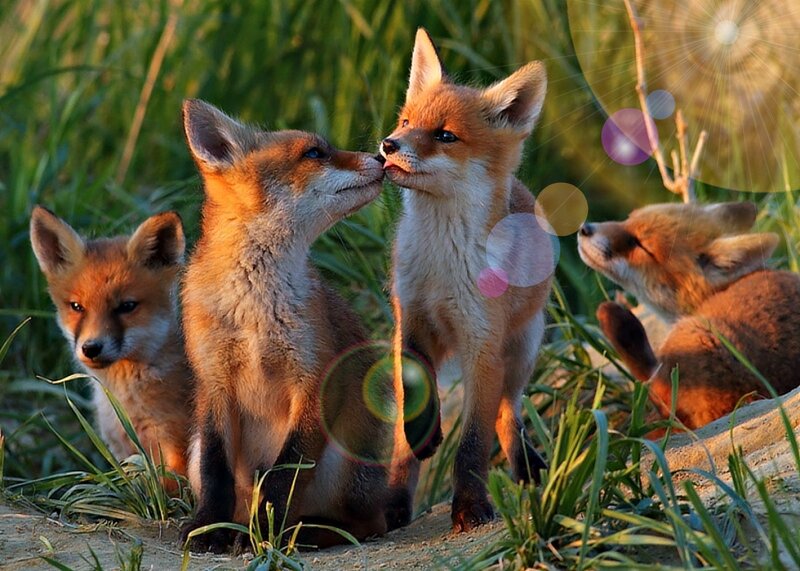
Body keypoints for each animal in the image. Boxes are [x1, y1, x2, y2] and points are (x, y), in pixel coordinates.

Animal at [179, 99, 392, 552]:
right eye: (314, 153)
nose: (383, 156)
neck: (254, 309)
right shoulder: (214, 382)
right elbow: (216, 473)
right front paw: (208, 528)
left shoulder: (314, 378)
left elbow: (284, 475)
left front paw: (265, 535)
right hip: (193, 448)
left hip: (340, 461)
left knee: (367, 524)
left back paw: (306, 532)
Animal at [380, 28, 552, 532]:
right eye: (406, 121)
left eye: (445, 136)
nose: (388, 144)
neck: (441, 266)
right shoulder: (411, 317)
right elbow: (417, 392)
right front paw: (423, 434)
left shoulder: (481, 342)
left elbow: (473, 444)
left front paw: (471, 507)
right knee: (402, 447)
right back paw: (393, 503)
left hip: (519, 353)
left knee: (507, 414)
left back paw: (525, 466)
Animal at [578, 201, 800, 429]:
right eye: (628, 219)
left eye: (641, 245)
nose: (584, 229)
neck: (711, 294)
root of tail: (750, 394)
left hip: (692, 335)